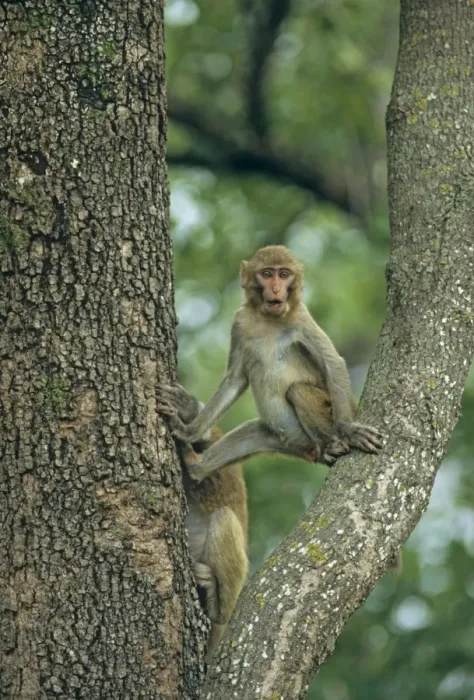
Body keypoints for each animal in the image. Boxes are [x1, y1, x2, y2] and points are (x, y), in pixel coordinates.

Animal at [158, 245, 383, 483]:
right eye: (266, 274)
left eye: (284, 274)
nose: (275, 289)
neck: (268, 318)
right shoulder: (240, 322)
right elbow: (234, 380)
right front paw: (189, 431)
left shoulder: (301, 317)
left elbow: (332, 362)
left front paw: (349, 430)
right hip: (287, 441)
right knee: (255, 432)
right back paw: (195, 466)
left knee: (297, 390)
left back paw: (336, 443)